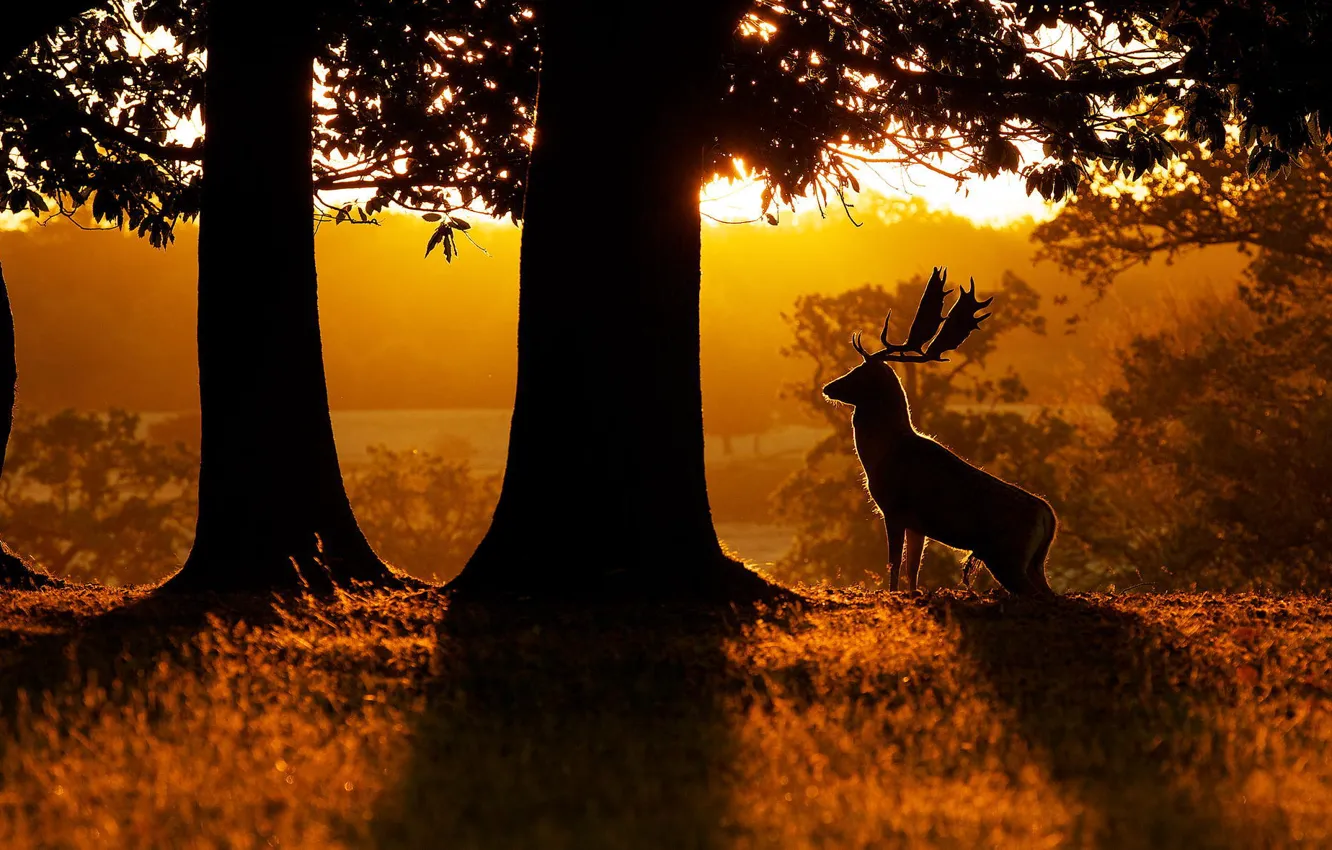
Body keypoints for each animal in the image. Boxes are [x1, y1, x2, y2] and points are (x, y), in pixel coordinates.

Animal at [822, 268, 1057, 598]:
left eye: (859, 372)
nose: (828, 387)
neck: (882, 454)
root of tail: (1049, 516)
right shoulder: (918, 524)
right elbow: (913, 568)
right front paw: (912, 593)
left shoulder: (894, 508)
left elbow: (894, 563)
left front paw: (892, 594)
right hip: (1034, 562)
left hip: (1007, 556)